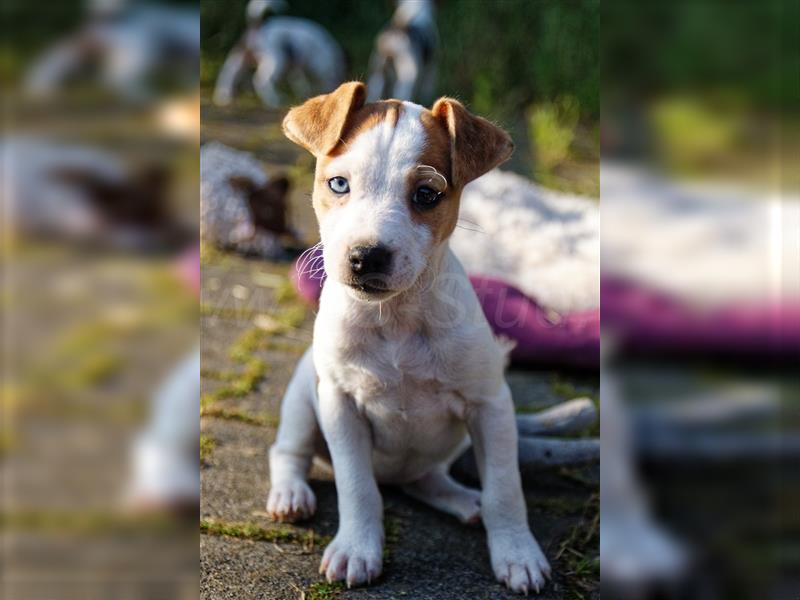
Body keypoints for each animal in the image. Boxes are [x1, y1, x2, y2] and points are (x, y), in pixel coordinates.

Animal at [268, 82, 552, 592]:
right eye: (338, 184)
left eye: (425, 194)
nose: (366, 256)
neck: (395, 318)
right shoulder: (339, 403)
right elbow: (357, 487)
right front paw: (357, 549)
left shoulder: (491, 405)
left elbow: (505, 490)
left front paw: (518, 555)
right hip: (304, 396)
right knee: (287, 451)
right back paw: (290, 495)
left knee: (424, 479)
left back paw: (465, 501)